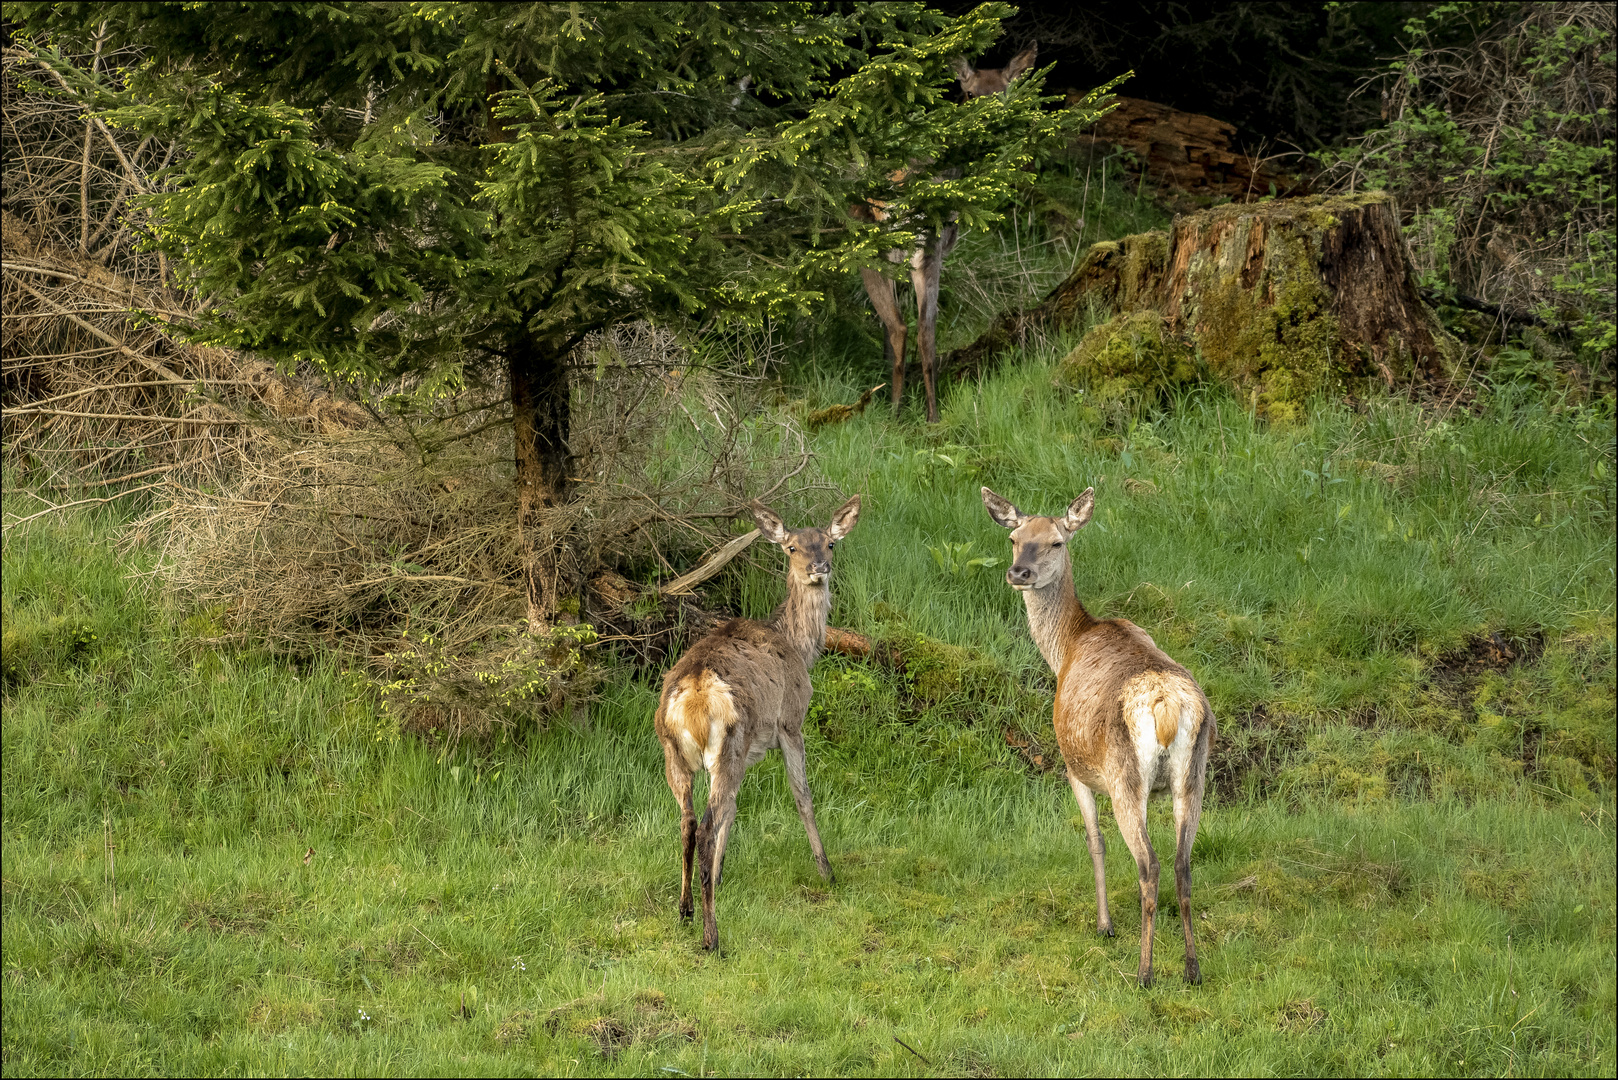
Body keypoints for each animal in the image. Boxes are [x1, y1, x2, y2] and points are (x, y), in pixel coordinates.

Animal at [653, 495, 867, 952]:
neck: (800, 648)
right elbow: (802, 796)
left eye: (830, 543)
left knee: (689, 821)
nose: (819, 567)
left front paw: (719, 876)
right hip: (730, 741)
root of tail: (693, 697)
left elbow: (735, 810)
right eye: (791, 547)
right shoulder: (790, 722)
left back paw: (685, 909)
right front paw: (827, 871)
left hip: (674, 752)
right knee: (706, 825)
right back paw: (712, 937)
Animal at [854, 38, 1041, 420]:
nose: (985, 122)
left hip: (887, 243)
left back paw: (902, 408)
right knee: (919, 328)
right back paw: (924, 413)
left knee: (904, 326)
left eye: (1003, 92)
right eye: (969, 93)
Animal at [977, 488, 1210, 990]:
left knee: (1149, 866)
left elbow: (1094, 841)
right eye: (1013, 539)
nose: (1019, 573)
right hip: (1194, 775)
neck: (1064, 649)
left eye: (1057, 542)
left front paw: (1104, 925)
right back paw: (1191, 969)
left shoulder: (1073, 768)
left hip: (1125, 776)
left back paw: (1144, 973)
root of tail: (1166, 705)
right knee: (1182, 865)